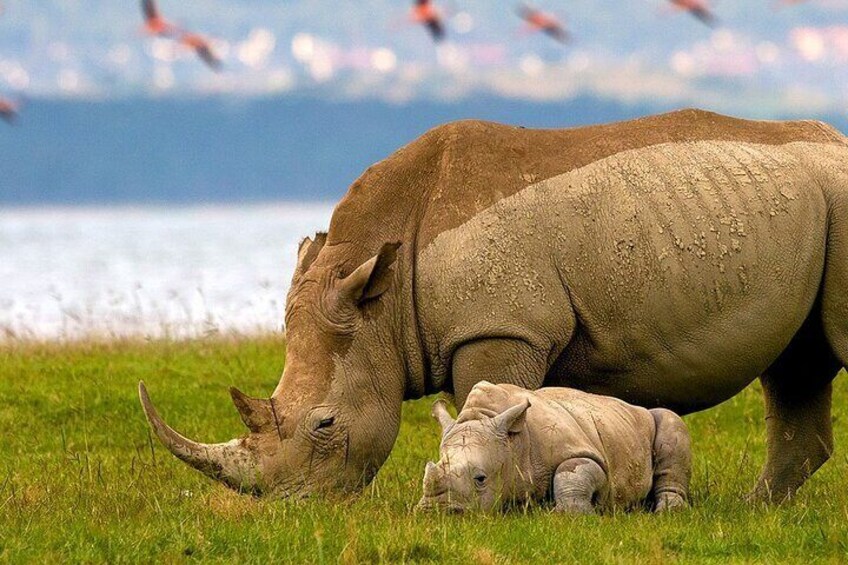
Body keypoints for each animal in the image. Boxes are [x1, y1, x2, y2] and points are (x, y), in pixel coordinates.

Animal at [417, 381, 691, 513]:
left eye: (481, 479)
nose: (434, 511)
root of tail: (633, 406)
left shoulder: (583, 452)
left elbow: (572, 471)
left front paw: (569, 515)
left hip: (647, 421)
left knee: (670, 421)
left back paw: (668, 512)